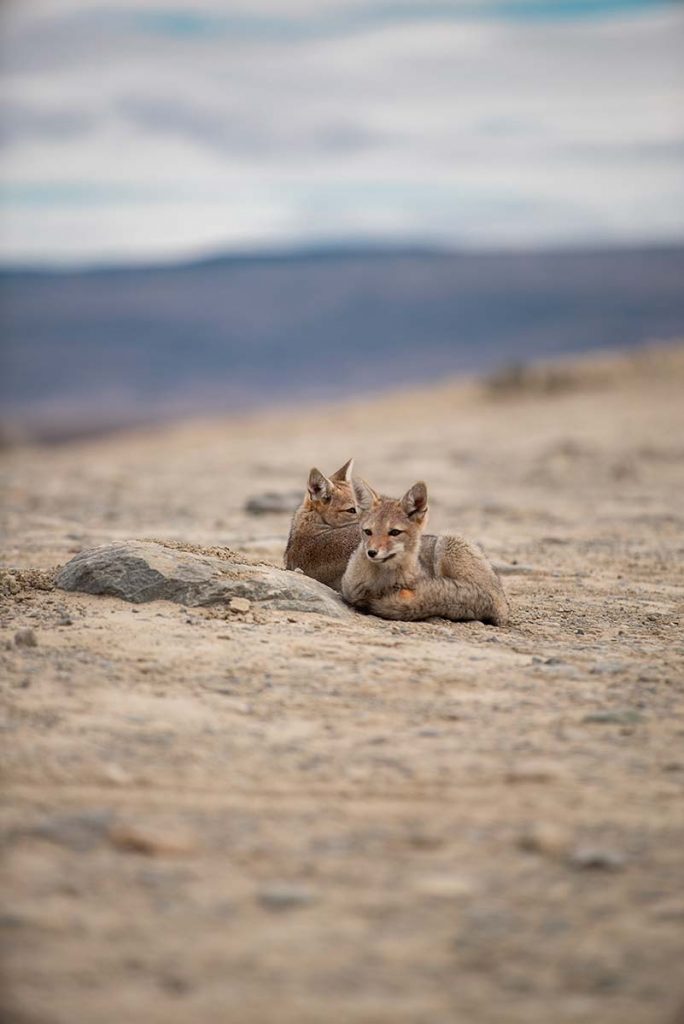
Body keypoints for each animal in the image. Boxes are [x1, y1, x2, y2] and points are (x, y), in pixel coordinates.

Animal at [339, 477, 507, 622]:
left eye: (394, 532)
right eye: (368, 532)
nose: (372, 552)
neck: (381, 583)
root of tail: (503, 600)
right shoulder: (350, 590)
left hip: (447, 543)